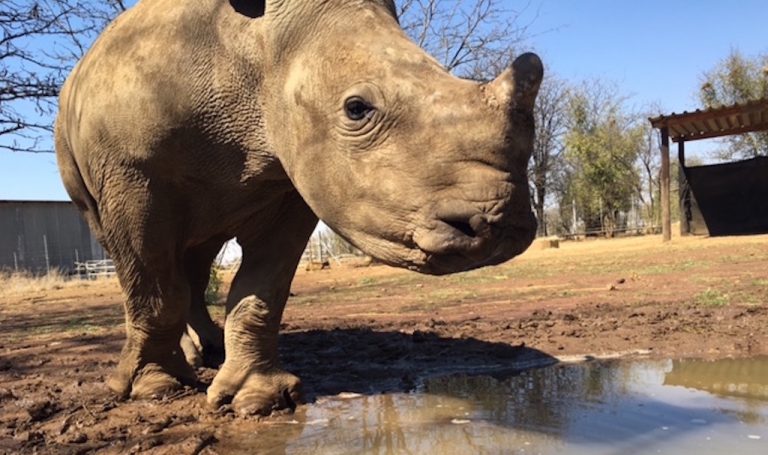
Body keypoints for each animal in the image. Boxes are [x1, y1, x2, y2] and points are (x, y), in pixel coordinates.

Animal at [55, 0, 542, 416]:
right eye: (356, 108)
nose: (504, 224)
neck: (255, 55)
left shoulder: (295, 177)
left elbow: (263, 289)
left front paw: (258, 399)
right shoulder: (131, 173)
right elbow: (152, 286)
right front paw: (156, 389)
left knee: (199, 251)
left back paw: (210, 351)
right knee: (140, 254)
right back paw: (185, 363)